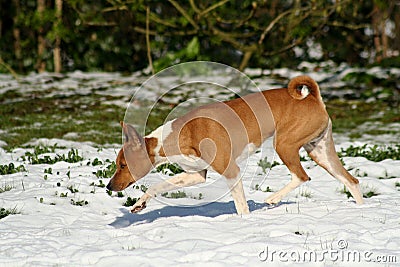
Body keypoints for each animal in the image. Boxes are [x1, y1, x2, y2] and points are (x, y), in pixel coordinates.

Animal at [105, 76, 362, 216]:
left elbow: (241, 207)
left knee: (302, 176)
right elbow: (156, 186)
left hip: (284, 145)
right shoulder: (196, 175)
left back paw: (273, 199)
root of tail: (312, 98)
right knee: (351, 181)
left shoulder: (231, 171)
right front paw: (139, 204)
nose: (108, 186)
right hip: (320, 152)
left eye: (123, 165)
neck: (182, 133)